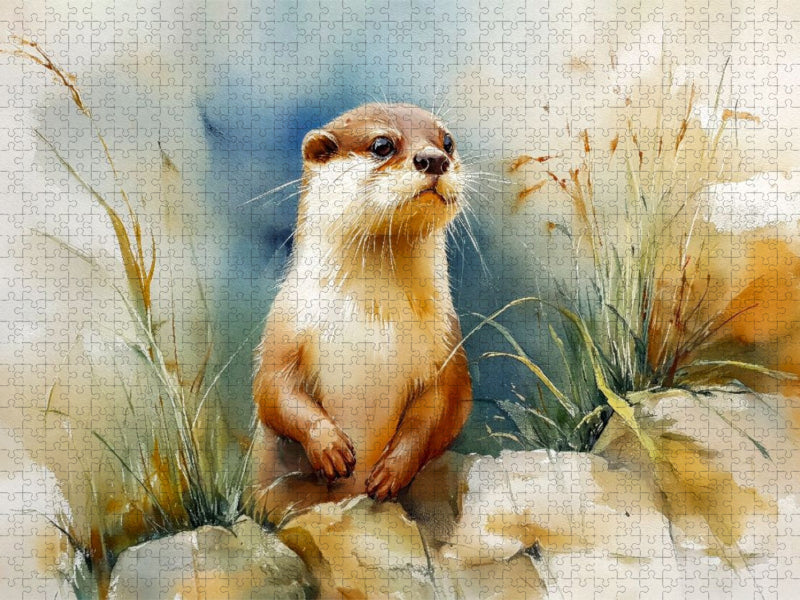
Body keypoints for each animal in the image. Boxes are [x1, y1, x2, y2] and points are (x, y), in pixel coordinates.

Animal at [252, 103, 472, 504]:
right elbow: (274, 389)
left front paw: (392, 470)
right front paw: (330, 447)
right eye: (382, 144)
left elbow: (444, 408)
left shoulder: (447, 345)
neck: (373, 314)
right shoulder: (285, 326)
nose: (434, 159)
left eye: (447, 141)